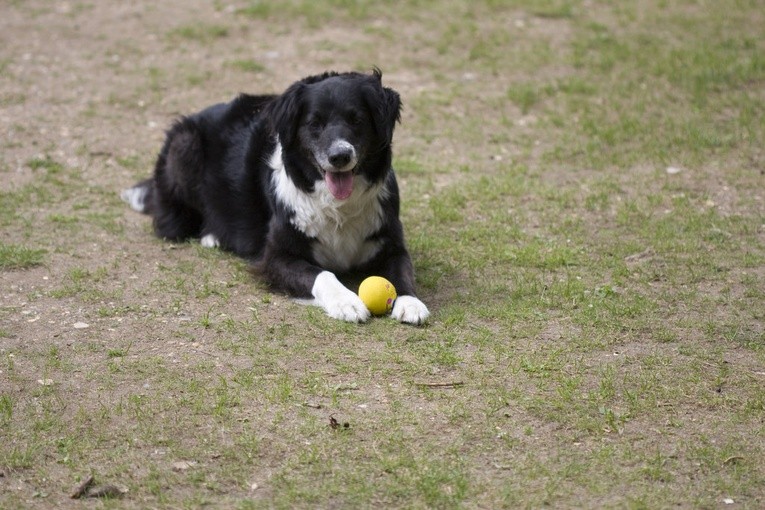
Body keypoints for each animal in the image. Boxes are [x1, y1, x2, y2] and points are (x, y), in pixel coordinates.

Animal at [122, 69, 426, 324]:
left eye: (357, 120)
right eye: (314, 123)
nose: (340, 156)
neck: (337, 205)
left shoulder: (391, 244)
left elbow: (402, 272)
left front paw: (410, 302)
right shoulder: (276, 257)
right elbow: (322, 274)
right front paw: (346, 302)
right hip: (185, 145)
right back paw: (212, 235)